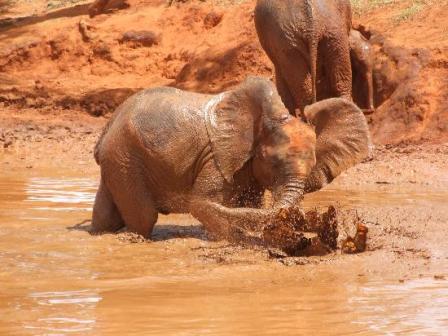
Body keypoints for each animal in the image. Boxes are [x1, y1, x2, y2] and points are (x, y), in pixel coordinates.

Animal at [92, 76, 372, 239]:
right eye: (272, 162)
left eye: (313, 164)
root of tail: (108, 125)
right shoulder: (216, 156)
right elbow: (203, 203)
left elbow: (250, 203)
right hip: (125, 157)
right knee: (144, 217)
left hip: (118, 159)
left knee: (107, 216)